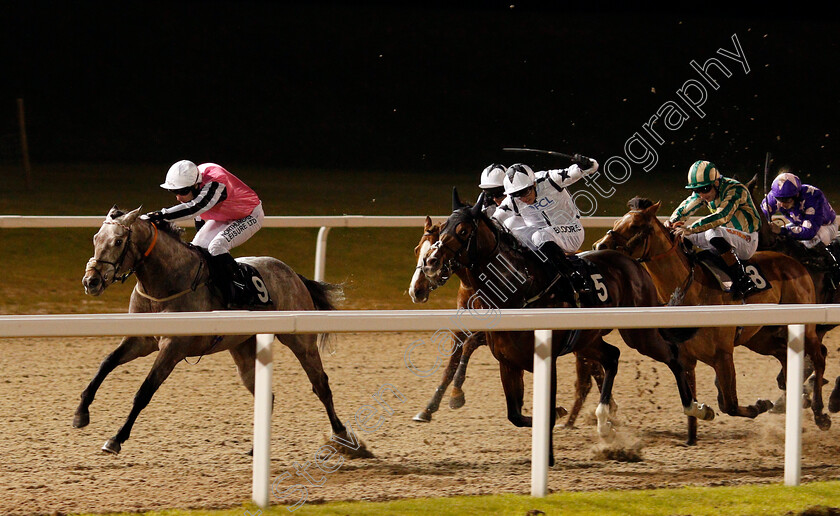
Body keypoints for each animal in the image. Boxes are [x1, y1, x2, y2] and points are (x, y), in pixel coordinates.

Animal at [79, 206, 370, 456]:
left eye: (118, 242)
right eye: (95, 237)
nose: (91, 281)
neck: (168, 282)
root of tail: (293, 274)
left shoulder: (174, 346)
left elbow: (144, 391)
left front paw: (116, 439)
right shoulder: (140, 338)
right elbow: (106, 364)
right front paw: (81, 411)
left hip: (301, 341)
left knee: (320, 384)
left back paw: (344, 437)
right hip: (243, 347)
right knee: (266, 394)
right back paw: (257, 448)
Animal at [406, 215, 604, 428]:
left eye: (432, 255)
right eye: (417, 250)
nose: (416, 291)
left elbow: (469, 346)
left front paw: (456, 395)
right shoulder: (461, 330)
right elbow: (450, 366)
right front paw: (428, 408)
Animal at [592, 198, 832, 440]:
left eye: (634, 226)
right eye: (616, 221)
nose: (599, 246)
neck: (691, 292)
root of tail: (794, 262)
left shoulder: (723, 355)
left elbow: (730, 404)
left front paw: (760, 405)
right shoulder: (686, 358)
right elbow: (700, 401)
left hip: (805, 323)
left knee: (819, 356)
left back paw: (820, 413)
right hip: (759, 338)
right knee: (785, 356)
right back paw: (800, 398)